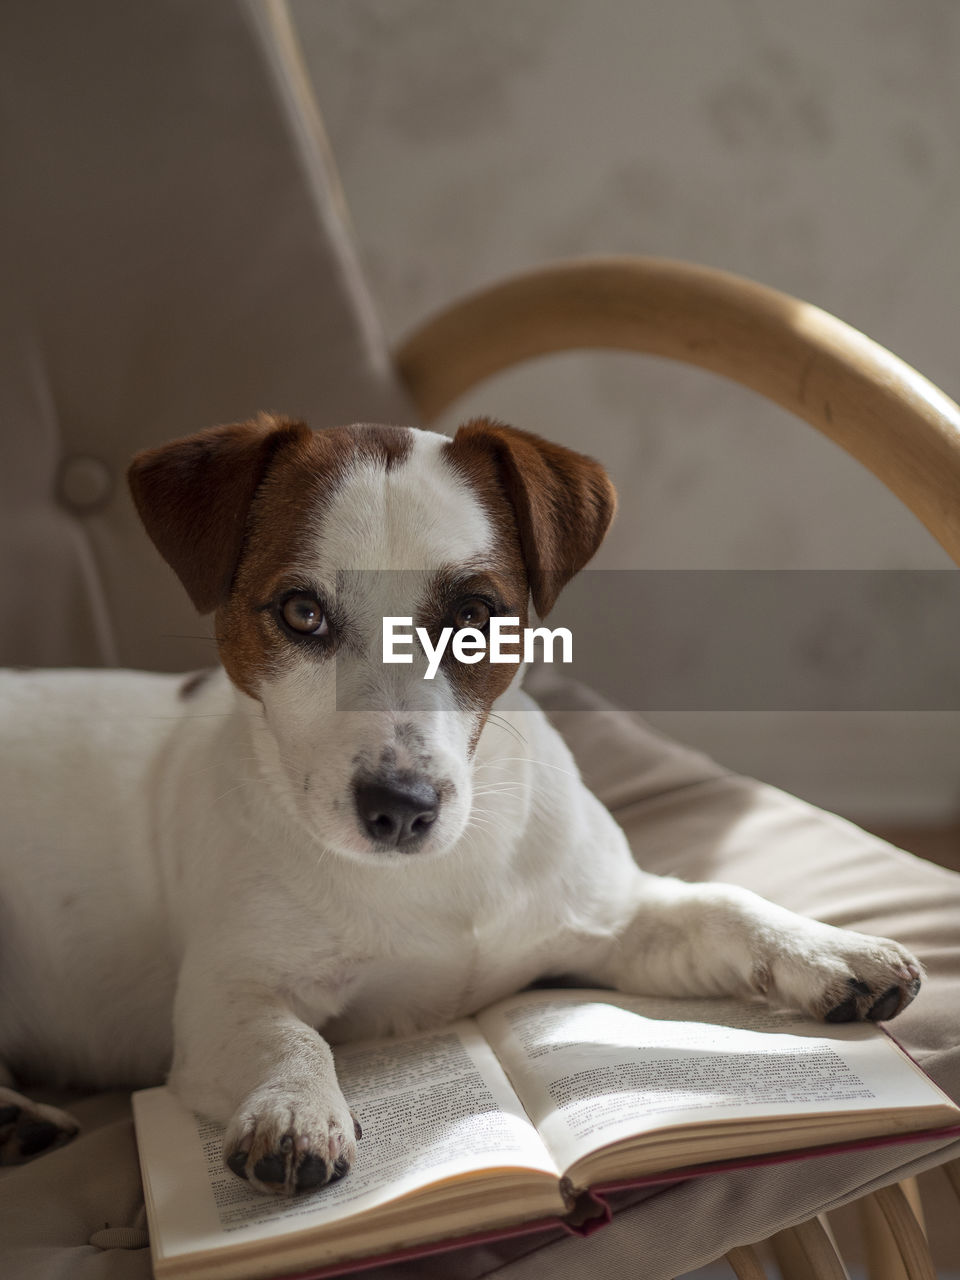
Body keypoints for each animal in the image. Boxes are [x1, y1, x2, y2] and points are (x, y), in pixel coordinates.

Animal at [3, 414, 926, 1192]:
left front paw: (827, 947)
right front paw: (295, 1105)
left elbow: (725, 904)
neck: (434, 876)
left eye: (477, 614)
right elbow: (288, 1035)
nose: (401, 807)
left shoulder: (615, 918)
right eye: (301, 612)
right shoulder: (226, 999)